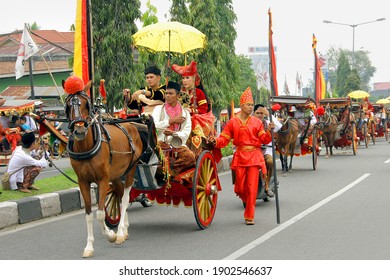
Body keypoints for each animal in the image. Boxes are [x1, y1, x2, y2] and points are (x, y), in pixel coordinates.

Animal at [63, 79, 142, 258]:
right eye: (68, 105)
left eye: (86, 103)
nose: (79, 130)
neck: (86, 147)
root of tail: (130, 124)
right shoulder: (83, 181)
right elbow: (88, 215)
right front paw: (89, 246)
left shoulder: (103, 179)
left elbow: (99, 214)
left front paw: (111, 235)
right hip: (116, 175)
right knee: (120, 195)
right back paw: (124, 230)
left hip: (131, 169)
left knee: (125, 198)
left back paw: (120, 232)